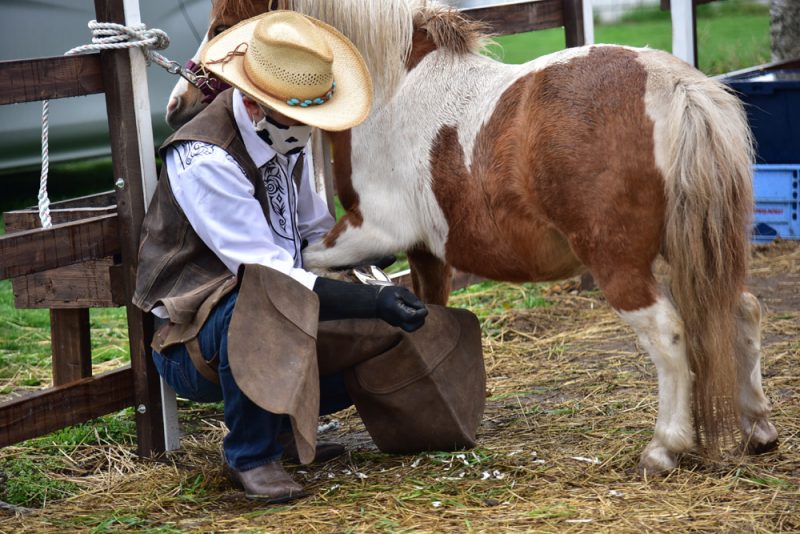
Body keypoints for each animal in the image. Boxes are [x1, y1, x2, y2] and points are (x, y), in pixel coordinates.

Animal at [167, 0, 776, 478]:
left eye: (226, 22)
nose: (177, 105)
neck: (392, 89)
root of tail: (675, 87)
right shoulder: (424, 252)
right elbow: (419, 307)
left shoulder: (369, 230)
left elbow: (310, 266)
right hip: (697, 251)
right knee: (742, 310)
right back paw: (759, 429)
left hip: (621, 264)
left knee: (669, 335)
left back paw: (664, 448)